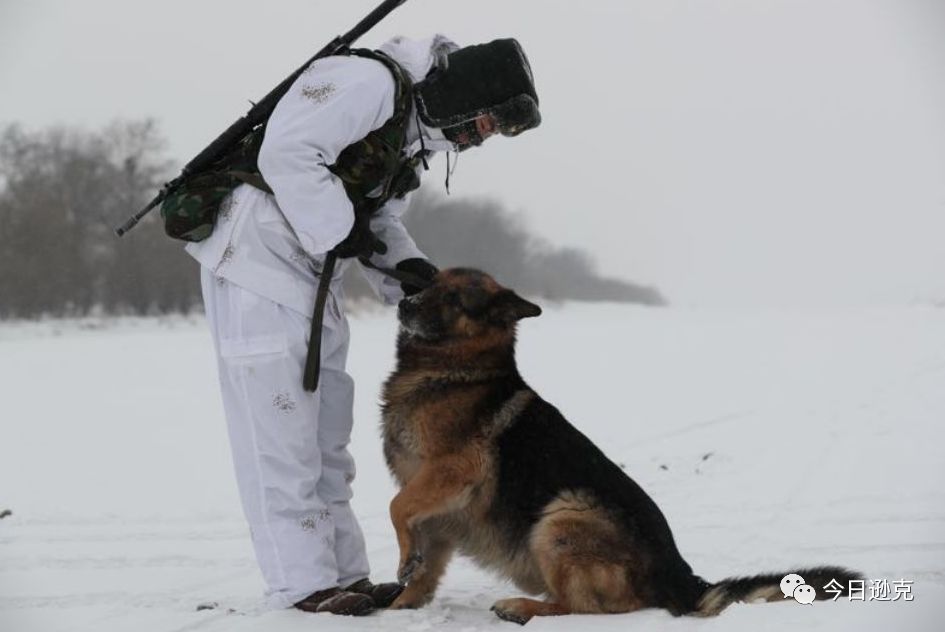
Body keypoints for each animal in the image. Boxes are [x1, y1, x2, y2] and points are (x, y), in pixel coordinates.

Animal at [380, 266, 860, 624]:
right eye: (428, 285)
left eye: (454, 299)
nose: (403, 304)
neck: (458, 369)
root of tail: (680, 575)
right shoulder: (438, 509)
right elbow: (424, 560)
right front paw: (402, 601)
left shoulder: (451, 472)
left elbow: (397, 507)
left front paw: (403, 565)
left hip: (562, 518)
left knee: (587, 608)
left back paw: (521, 607)